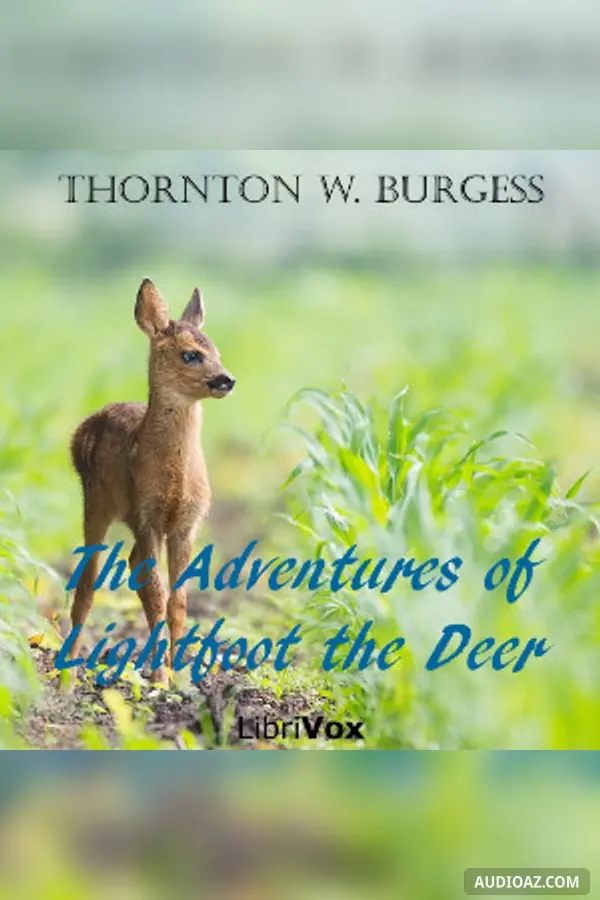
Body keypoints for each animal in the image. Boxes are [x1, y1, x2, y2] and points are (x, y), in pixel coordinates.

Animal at [68, 278, 236, 682]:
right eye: (190, 355)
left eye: (216, 351)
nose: (227, 379)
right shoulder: (147, 517)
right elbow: (158, 597)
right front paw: (160, 678)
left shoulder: (186, 525)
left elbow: (179, 601)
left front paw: (180, 674)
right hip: (95, 504)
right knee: (88, 582)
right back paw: (66, 673)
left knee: (131, 567)